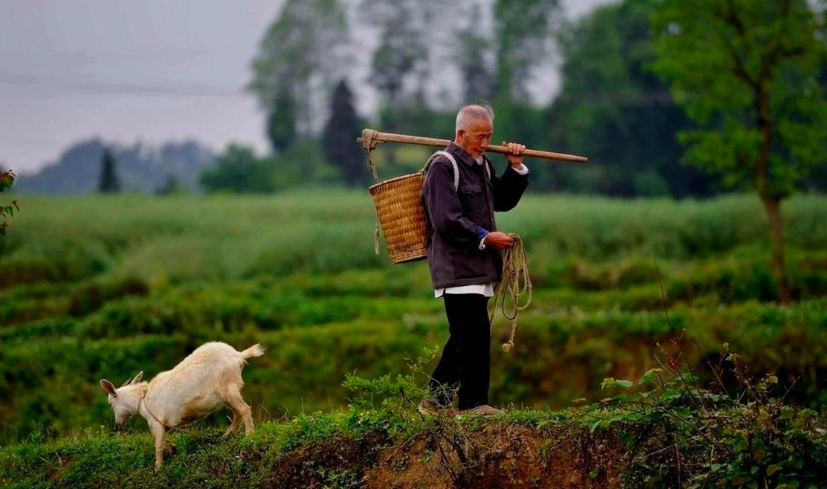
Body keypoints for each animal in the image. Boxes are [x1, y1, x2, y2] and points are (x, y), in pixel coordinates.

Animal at [99, 342, 266, 468]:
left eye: (110, 404)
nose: (117, 425)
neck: (143, 398)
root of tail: (238, 355)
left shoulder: (156, 422)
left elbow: (157, 444)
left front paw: (158, 468)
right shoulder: (161, 424)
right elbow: (160, 440)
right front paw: (172, 448)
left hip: (227, 388)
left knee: (244, 409)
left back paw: (249, 436)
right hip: (226, 394)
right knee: (237, 412)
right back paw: (227, 436)